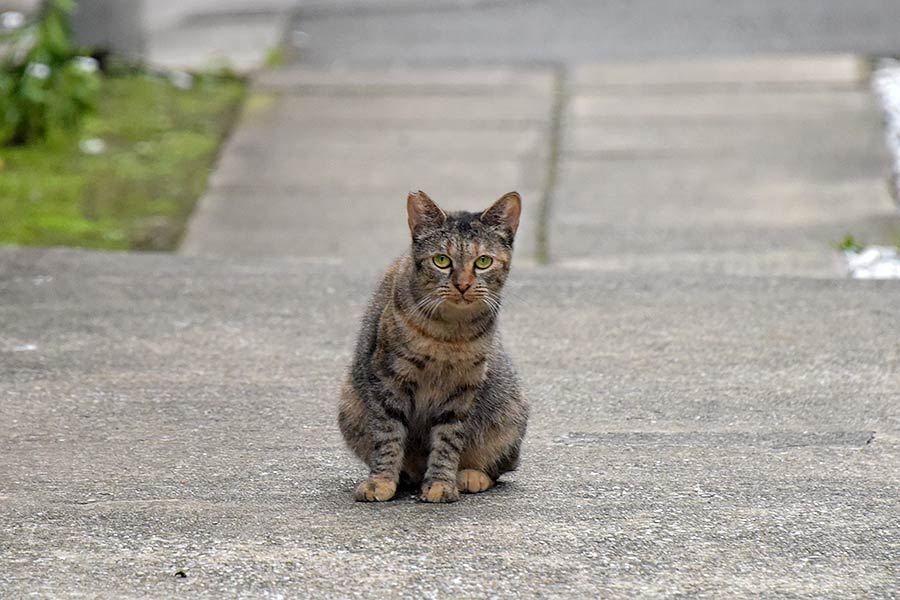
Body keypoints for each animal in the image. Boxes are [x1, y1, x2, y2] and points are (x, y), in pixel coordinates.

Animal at [338, 191, 528, 502]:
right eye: (441, 260)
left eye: (483, 262)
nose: (462, 285)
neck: (449, 333)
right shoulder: (388, 379)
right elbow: (388, 435)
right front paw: (381, 481)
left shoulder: (462, 389)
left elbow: (448, 440)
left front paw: (441, 483)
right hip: (350, 404)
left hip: (510, 415)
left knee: (501, 466)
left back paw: (471, 475)